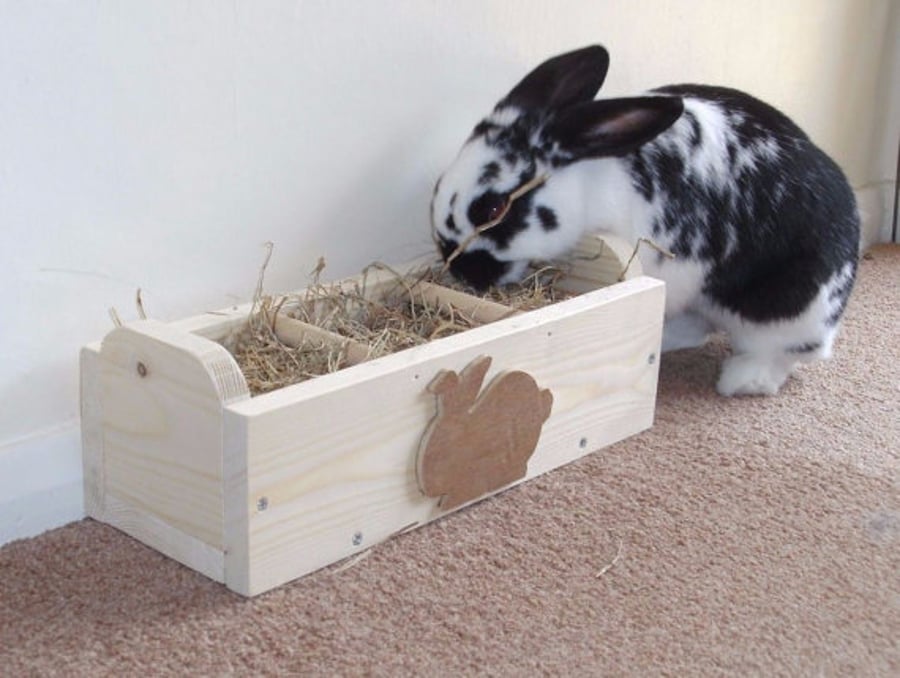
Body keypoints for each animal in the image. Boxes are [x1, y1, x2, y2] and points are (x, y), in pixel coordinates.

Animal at [432, 46, 860, 398]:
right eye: (437, 185)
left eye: (493, 210)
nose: (463, 273)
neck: (590, 177)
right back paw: (668, 339)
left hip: (782, 314)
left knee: (784, 353)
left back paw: (742, 380)